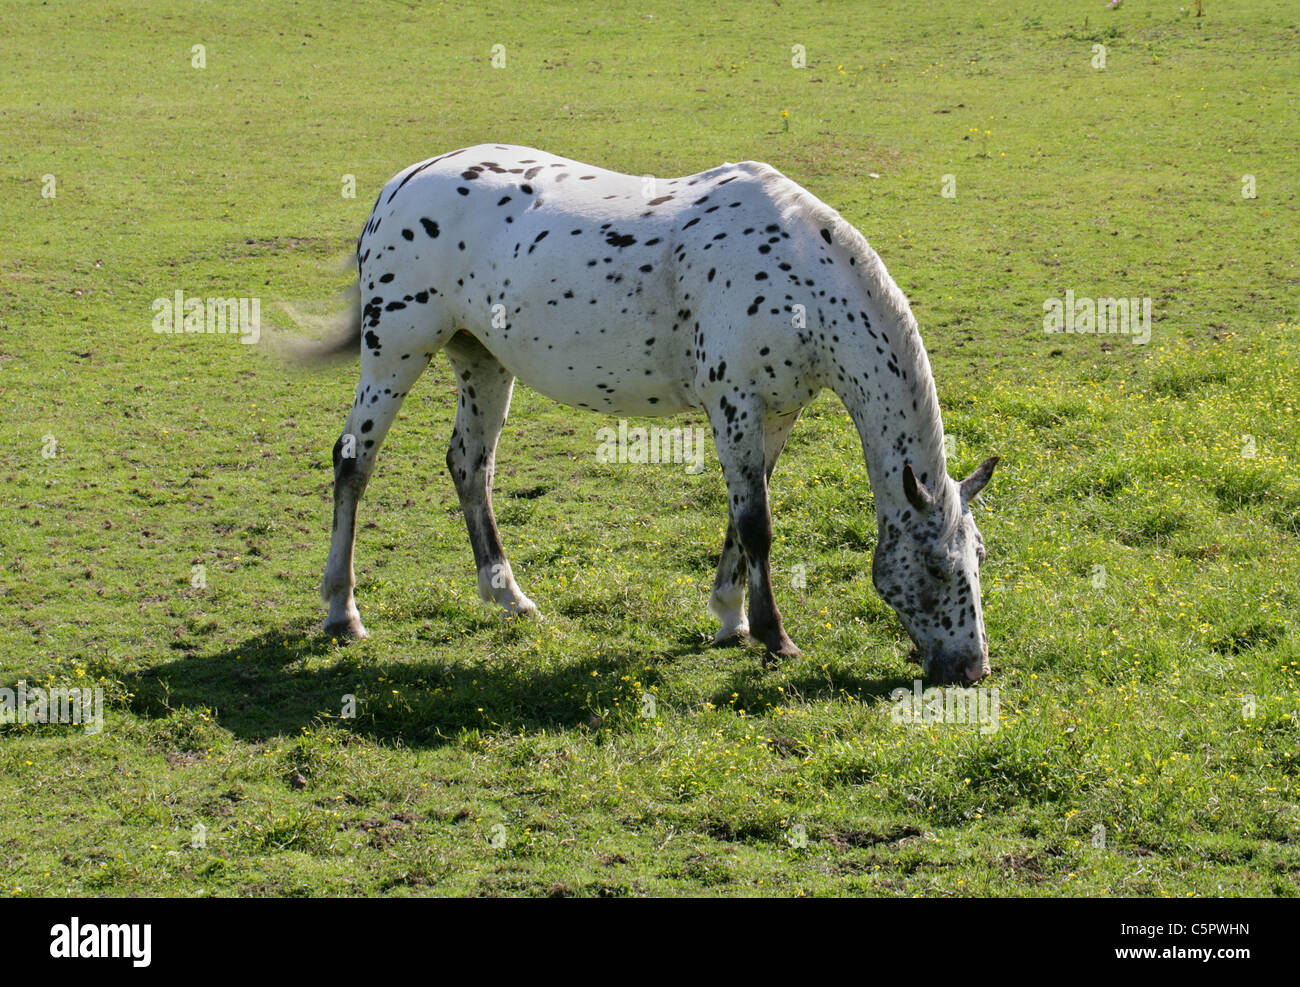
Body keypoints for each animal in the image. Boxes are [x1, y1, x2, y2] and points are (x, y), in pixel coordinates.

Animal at [308, 144, 999, 684]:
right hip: (395, 353)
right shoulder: (735, 408)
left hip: (481, 360)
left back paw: (510, 598)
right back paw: (342, 613)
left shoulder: (775, 416)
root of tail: (400, 184)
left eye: (979, 555)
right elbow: (757, 525)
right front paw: (774, 638)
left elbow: (741, 515)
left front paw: (730, 619)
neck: (800, 282)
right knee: (353, 463)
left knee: (469, 466)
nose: (972, 670)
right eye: (936, 566)